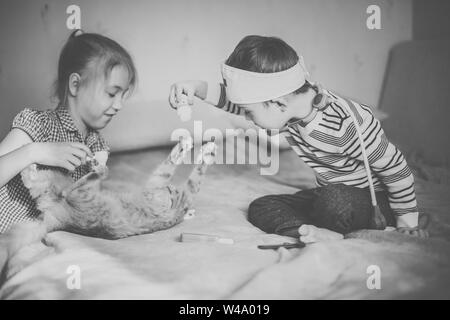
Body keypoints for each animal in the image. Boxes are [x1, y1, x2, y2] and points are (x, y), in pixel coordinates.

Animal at [17, 136, 218, 240]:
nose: (172, 190)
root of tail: (61, 222)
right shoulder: (159, 185)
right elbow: (179, 168)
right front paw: (194, 147)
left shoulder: (161, 186)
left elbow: (194, 176)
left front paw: (205, 151)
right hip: (56, 180)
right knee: (31, 183)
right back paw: (28, 166)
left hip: (76, 190)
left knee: (74, 186)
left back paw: (96, 165)